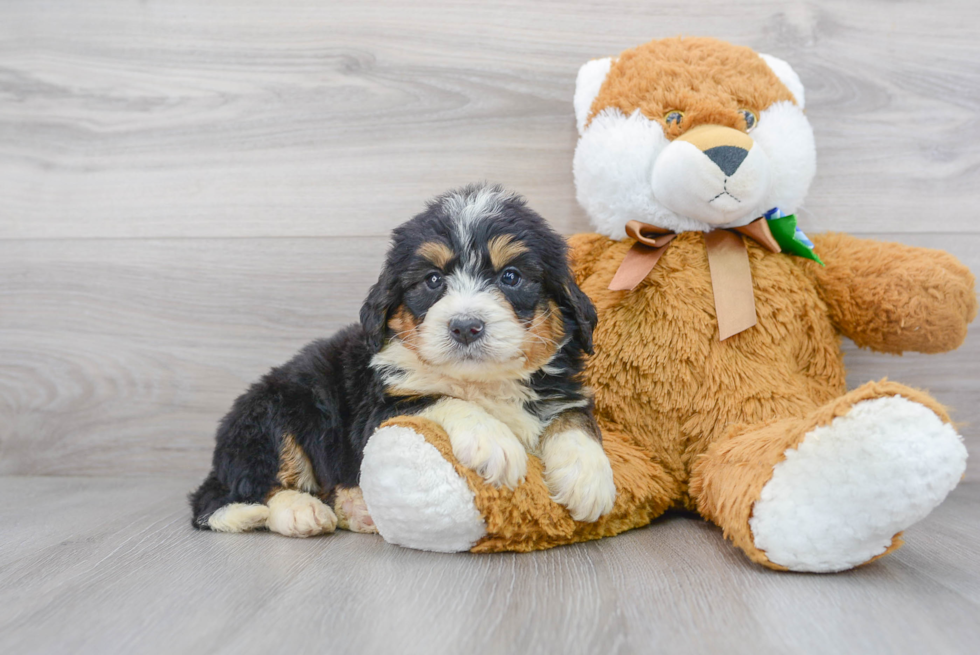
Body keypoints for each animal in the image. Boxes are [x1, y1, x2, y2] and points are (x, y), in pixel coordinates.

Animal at [190, 183, 616, 540]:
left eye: (510, 277)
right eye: (432, 280)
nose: (465, 327)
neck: (481, 381)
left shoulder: (562, 389)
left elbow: (574, 420)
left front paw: (588, 477)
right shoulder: (378, 411)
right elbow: (442, 398)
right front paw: (492, 440)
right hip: (272, 414)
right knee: (254, 486)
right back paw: (302, 511)